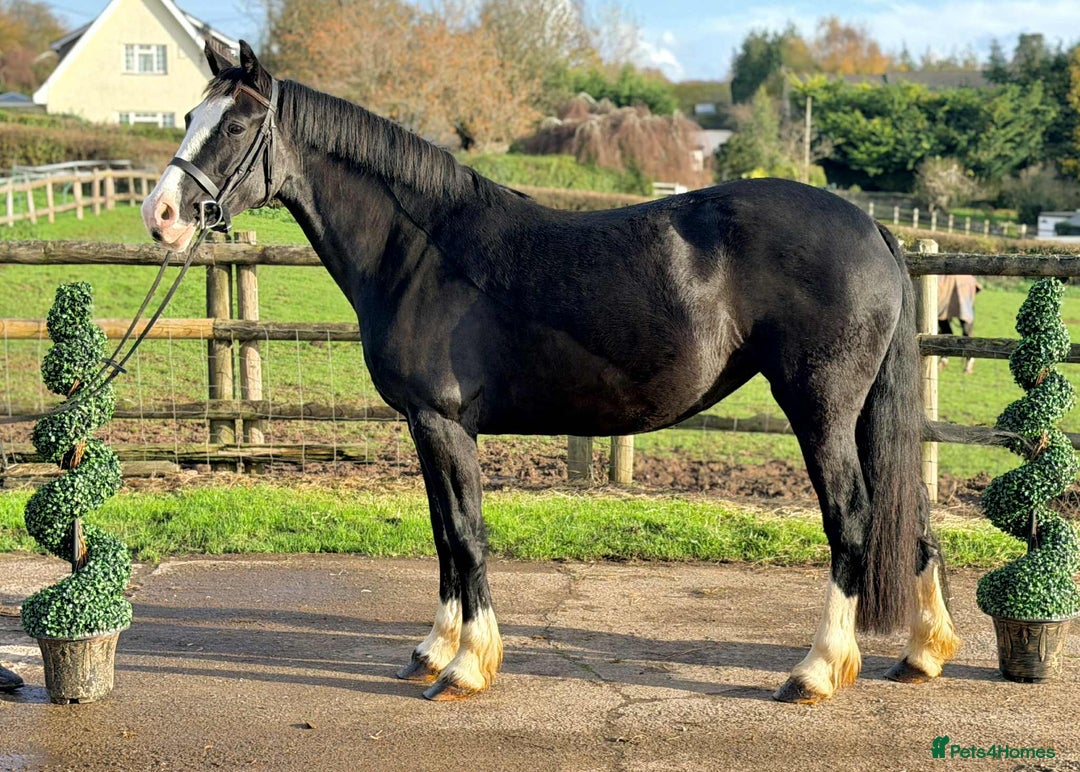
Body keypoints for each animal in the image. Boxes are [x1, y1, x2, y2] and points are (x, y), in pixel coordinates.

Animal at [142, 41, 960, 703]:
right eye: (185, 115)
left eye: (235, 127)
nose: (161, 216)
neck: (422, 249)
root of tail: (871, 225)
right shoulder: (427, 427)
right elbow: (443, 533)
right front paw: (434, 649)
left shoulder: (445, 422)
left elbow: (466, 534)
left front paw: (468, 667)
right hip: (862, 412)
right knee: (912, 512)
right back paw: (922, 654)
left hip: (820, 408)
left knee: (851, 519)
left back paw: (816, 670)